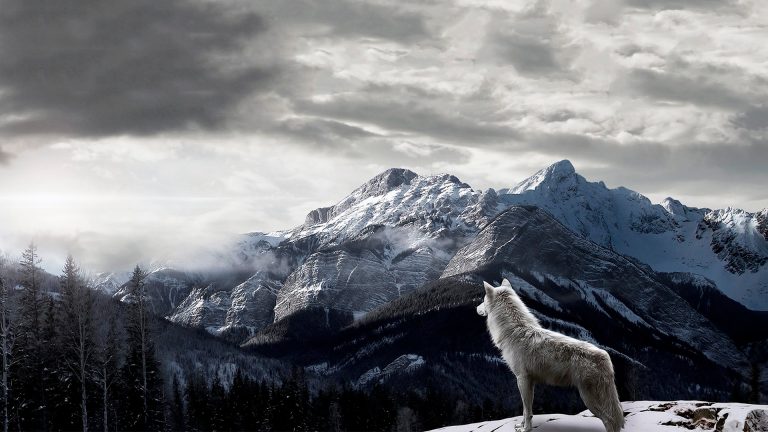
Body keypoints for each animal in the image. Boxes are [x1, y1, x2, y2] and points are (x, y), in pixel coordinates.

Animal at [476, 279, 624, 432]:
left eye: (483, 300)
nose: (476, 308)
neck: (514, 331)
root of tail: (605, 356)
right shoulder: (530, 382)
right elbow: (526, 410)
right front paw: (522, 425)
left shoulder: (522, 379)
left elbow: (526, 410)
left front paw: (526, 429)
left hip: (589, 399)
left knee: (610, 420)